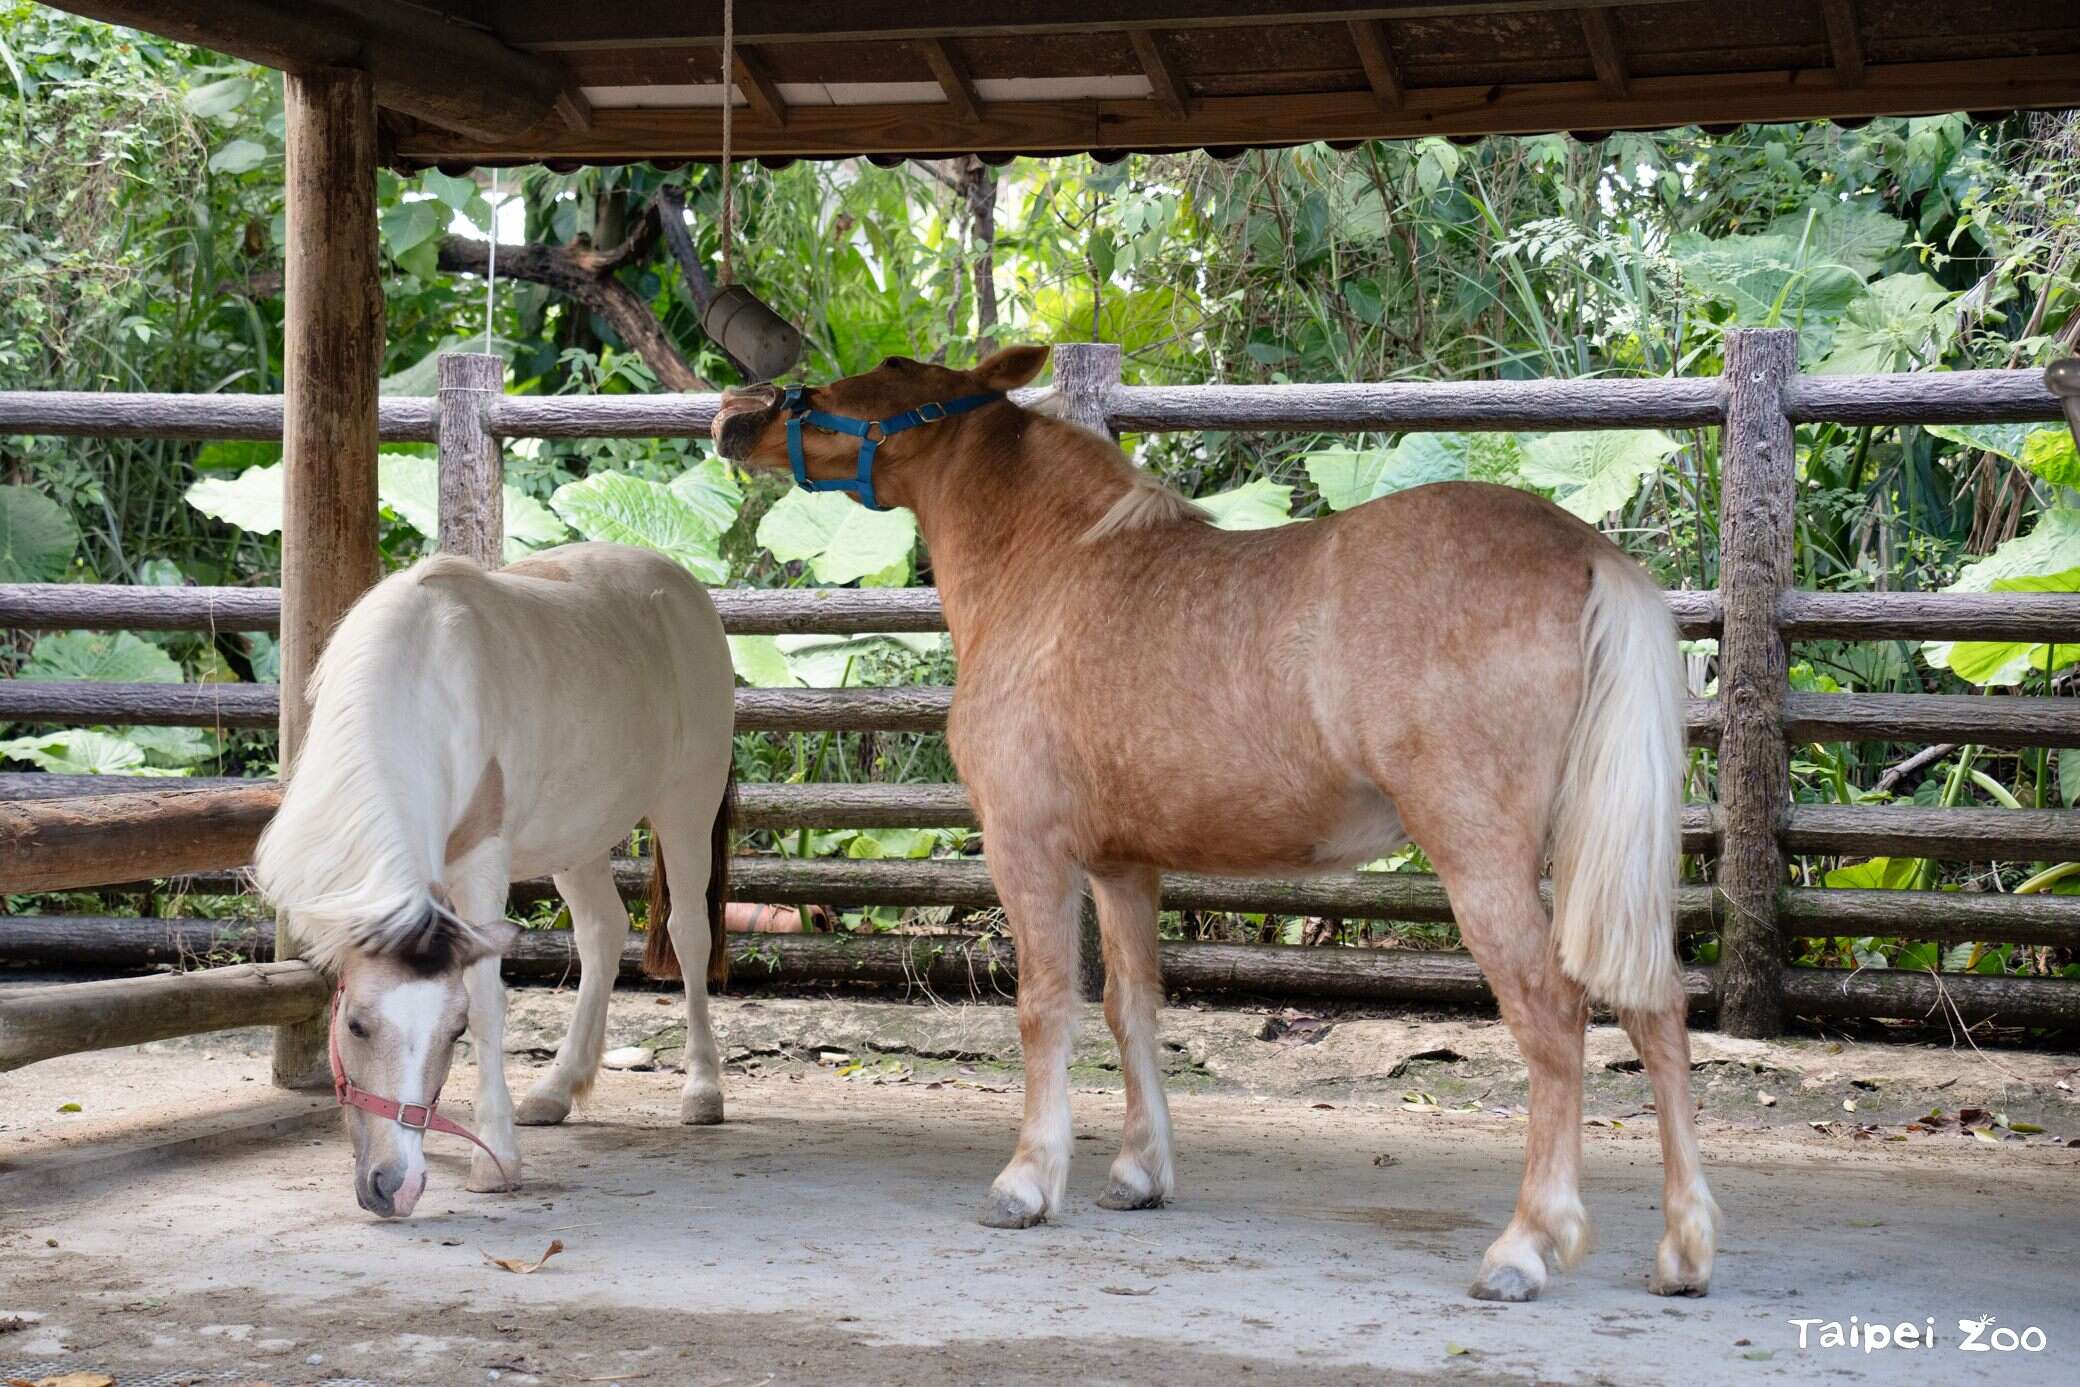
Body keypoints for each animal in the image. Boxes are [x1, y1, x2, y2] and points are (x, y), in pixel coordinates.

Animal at [254, 542, 736, 1219]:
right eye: (355, 1025)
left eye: (453, 1032)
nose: (394, 1185)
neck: (422, 686)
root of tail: (682, 586)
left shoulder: (482, 866)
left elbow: (489, 1003)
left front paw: (495, 1157)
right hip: (579, 837)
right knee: (602, 933)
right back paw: (555, 1091)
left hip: (687, 804)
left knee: (688, 933)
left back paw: (701, 1090)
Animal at [712, 347, 1717, 1302]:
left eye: (875, 379)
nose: (737, 415)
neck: (1053, 570)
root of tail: (1586, 552)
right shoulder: (1123, 865)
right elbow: (1130, 1007)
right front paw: (1138, 1171)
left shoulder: (1027, 848)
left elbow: (1044, 1006)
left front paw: (1028, 1180)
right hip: (1598, 855)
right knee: (1656, 1007)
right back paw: (1683, 1251)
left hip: (1484, 856)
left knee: (1554, 1015)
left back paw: (1526, 1246)